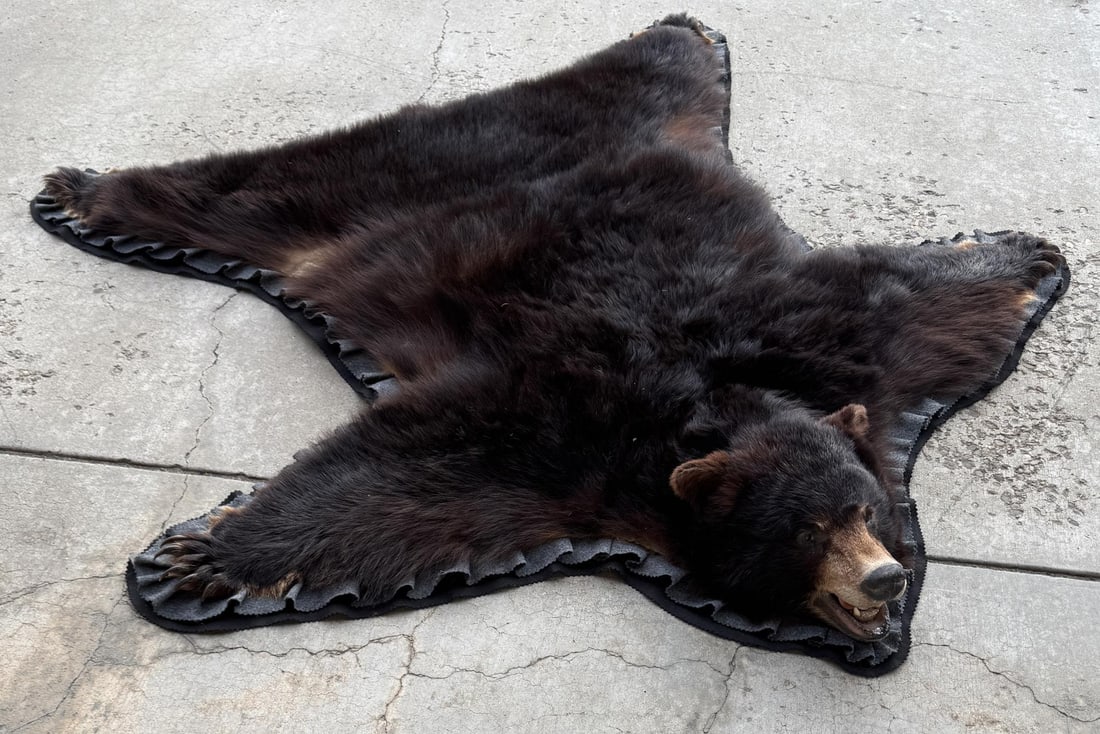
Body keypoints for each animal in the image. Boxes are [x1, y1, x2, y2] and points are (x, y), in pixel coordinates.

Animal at [42, 16, 1064, 642]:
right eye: (808, 529)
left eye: (863, 509)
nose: (886, 580)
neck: (713, 401)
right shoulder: (557, 426)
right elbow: (404, 473)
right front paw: (205, 554)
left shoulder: (843, 339)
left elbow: (921, 298)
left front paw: (1025, 258)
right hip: (390, 175)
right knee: (264, 190)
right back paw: (83, 192)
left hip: (631, 110)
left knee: (654, 66)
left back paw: (681, 32)